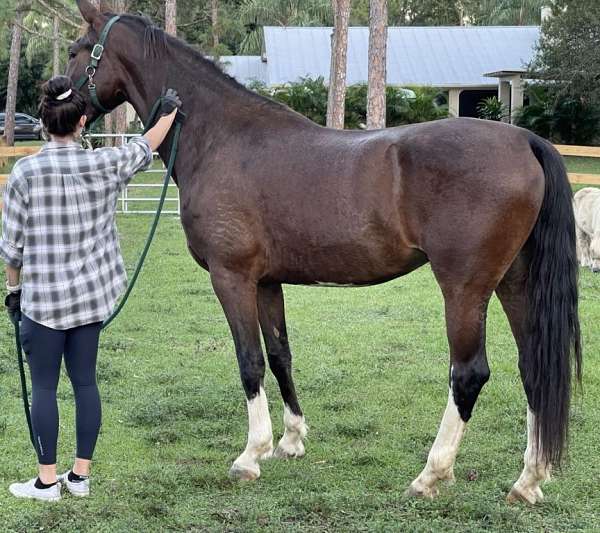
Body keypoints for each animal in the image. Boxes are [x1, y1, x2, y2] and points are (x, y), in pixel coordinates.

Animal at [69, 0, 580, 500]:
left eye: (76, 51)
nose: (54, 99)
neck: (221, 138)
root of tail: (525, 140)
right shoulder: (266, 282)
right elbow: (280, 355)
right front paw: (290, 440)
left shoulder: (231, 277)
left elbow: (249, 360)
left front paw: (250, 455)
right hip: (514, 281)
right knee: (533, 367)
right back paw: (528, 480)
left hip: (465, 287)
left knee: (469, 373)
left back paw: (431, 475)